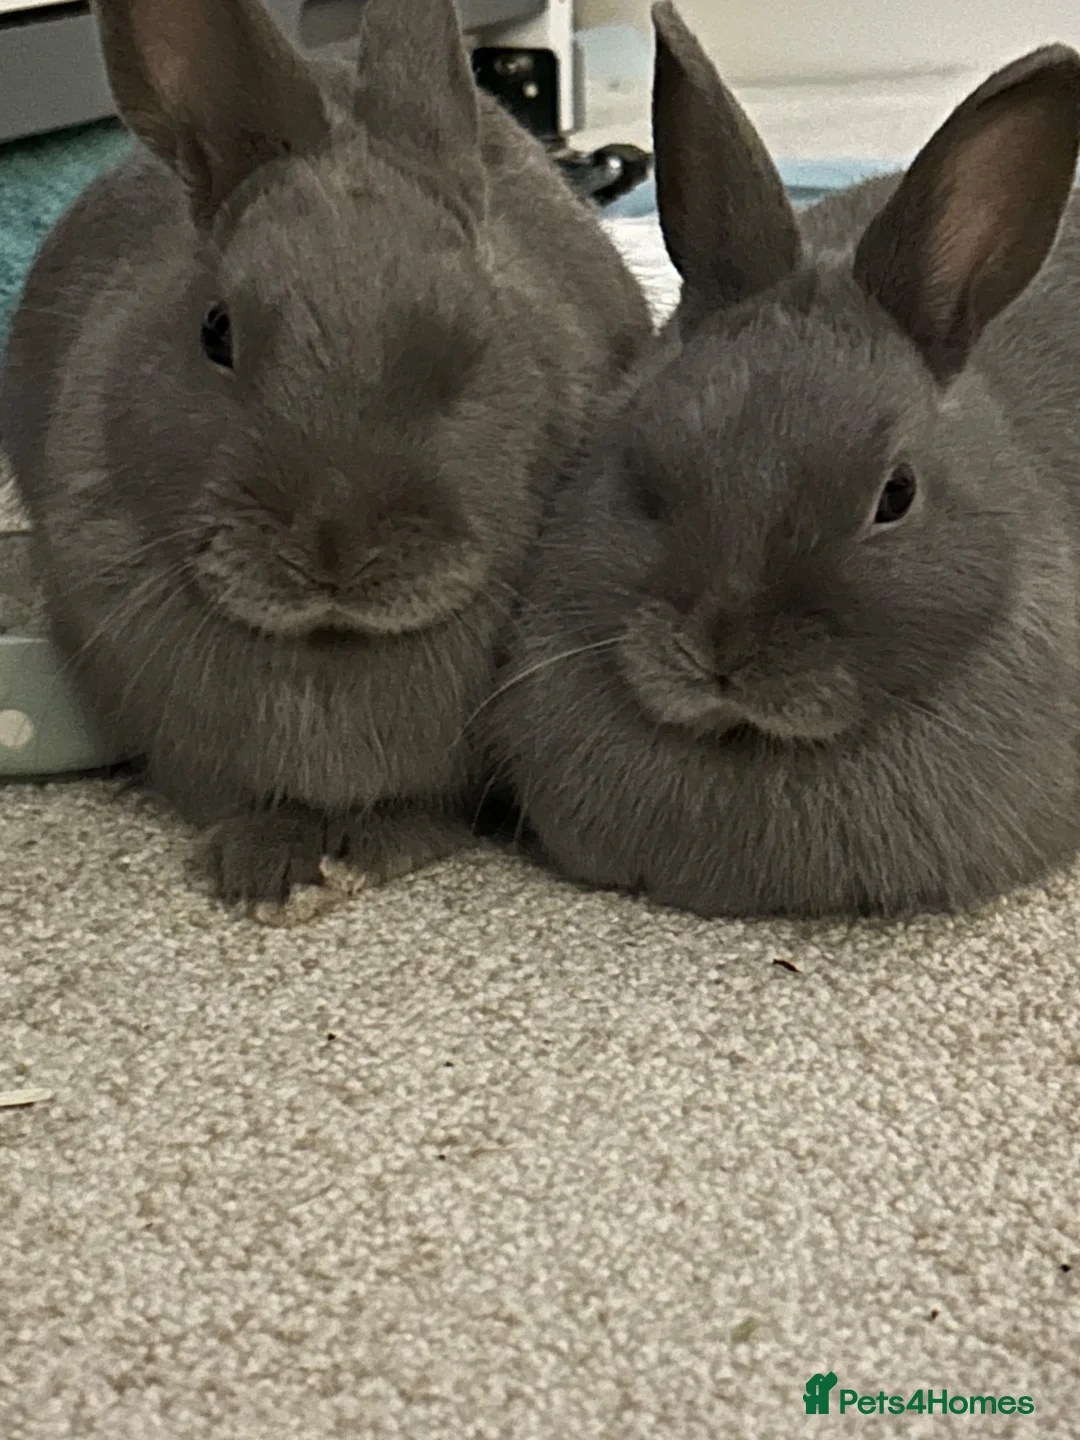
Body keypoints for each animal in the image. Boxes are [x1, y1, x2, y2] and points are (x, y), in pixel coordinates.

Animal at [0, 0, 652, 902]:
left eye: (472, 338)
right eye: (216, 331)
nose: (334, 548)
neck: (332, 645)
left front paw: (384, 848)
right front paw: (265, 874)